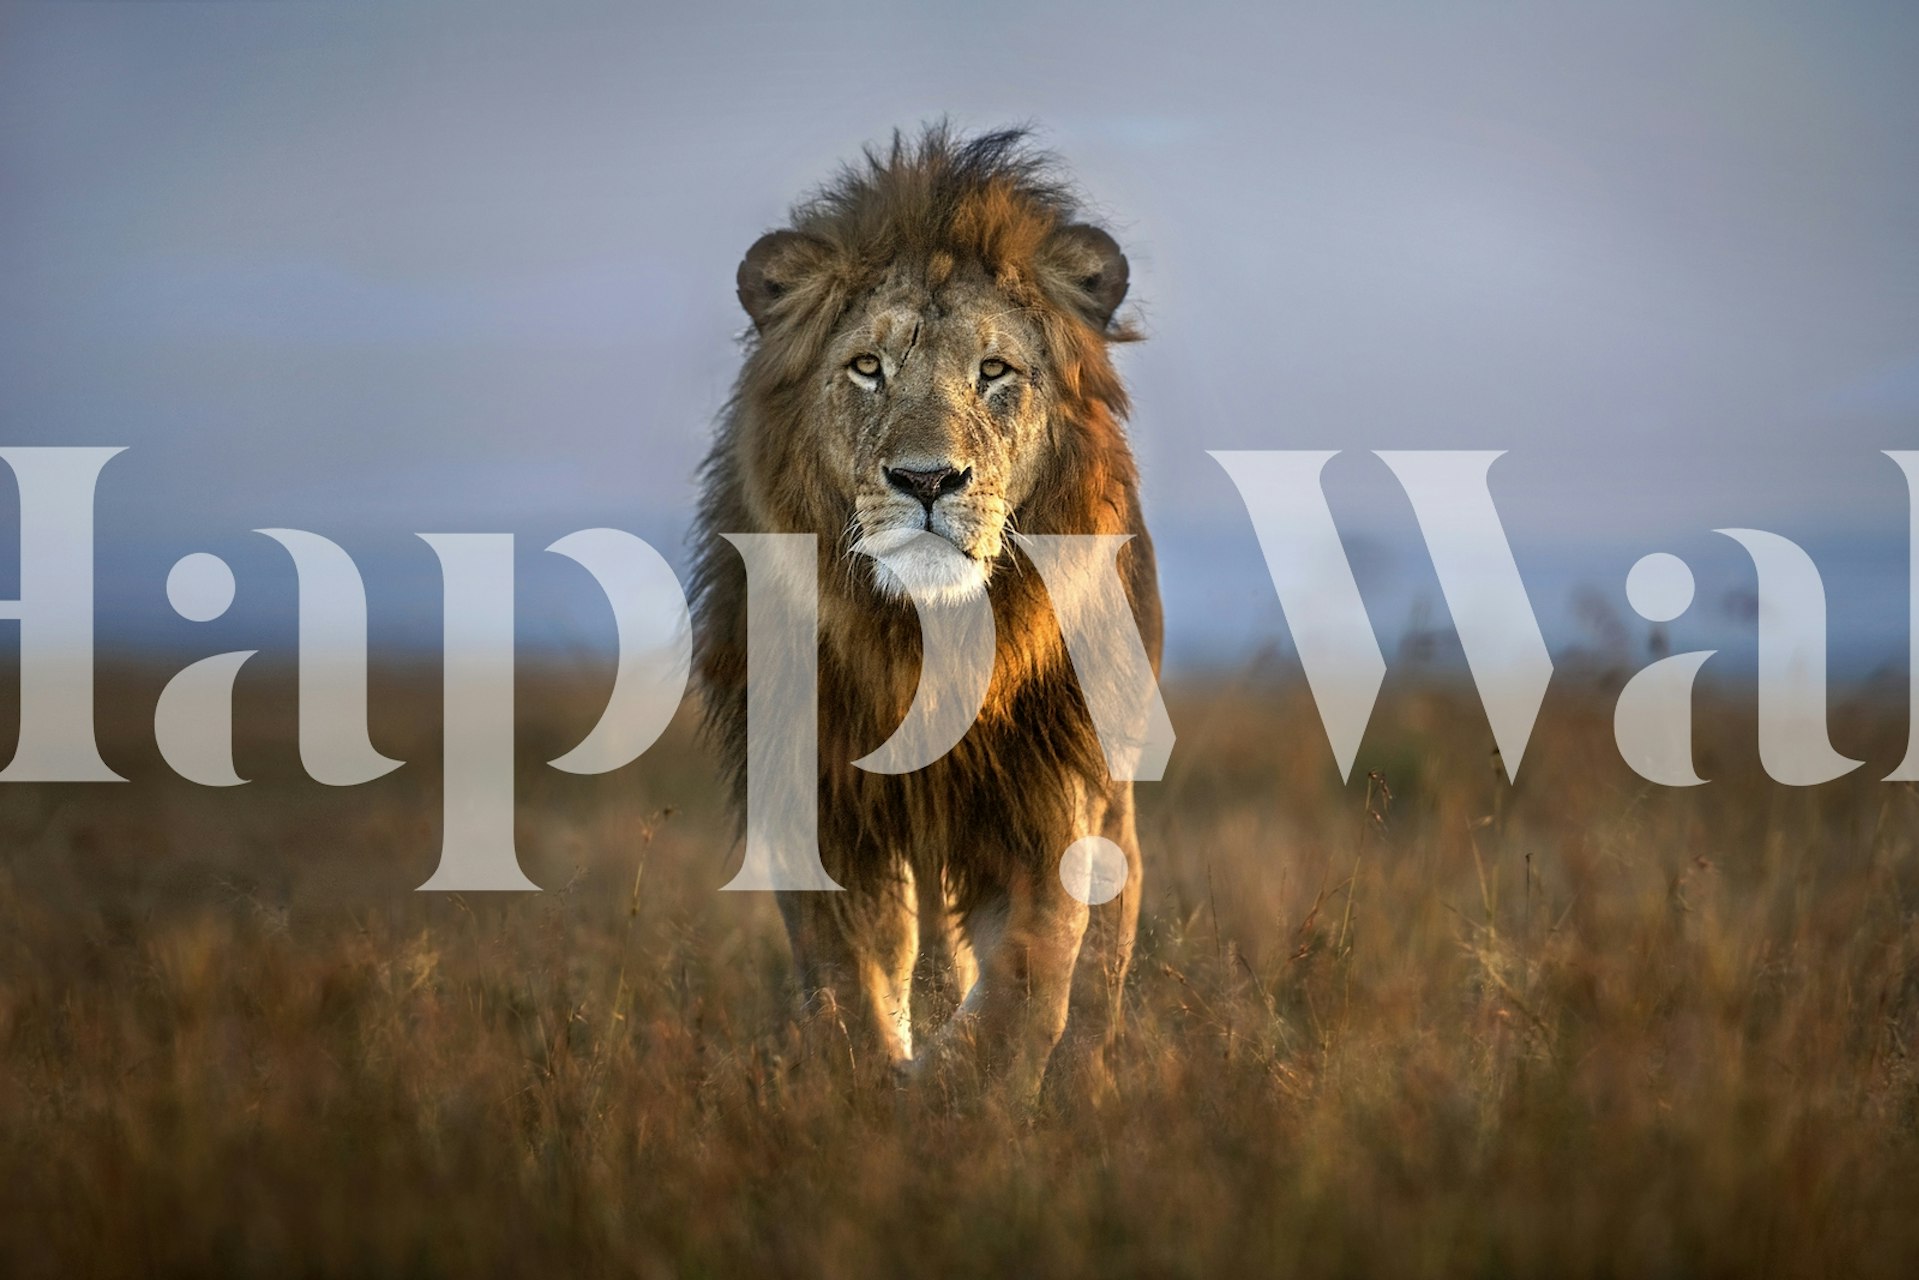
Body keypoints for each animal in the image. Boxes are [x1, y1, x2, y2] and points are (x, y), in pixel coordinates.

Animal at [690, 124, 1161, 1103]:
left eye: (995, 371)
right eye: (867, 368)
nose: (926, 479)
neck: (924, 641)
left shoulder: (1050, 795)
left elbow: (1028, 977)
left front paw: (961, 1093)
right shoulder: (823, 799)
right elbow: (853, 978)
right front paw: (874, 1089)